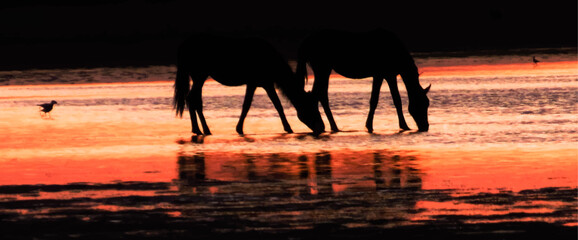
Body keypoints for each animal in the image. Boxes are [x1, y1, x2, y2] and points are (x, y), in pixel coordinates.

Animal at [171, 34, 324, 136]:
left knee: (194, 100)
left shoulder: (265, 83)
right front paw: (239, 128)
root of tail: (183, 47)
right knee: (192, 99)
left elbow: (276, 105)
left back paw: (201, 129)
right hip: (200, 76)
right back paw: (201, 130)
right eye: (311, 108)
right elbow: (249, 105)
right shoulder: (255, 82)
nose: (321, 127)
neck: (271, 62)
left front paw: (288, 128)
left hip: (198, 77)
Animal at [296, 29, 428, 133]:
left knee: (321, 95)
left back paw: (333, 127)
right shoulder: (382, 74)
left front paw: (403, 125)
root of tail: (306, 41)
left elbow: (394, 100)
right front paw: (371, 126)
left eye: (427, 103)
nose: (425, 126)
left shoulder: (388, 75)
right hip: (322, 69)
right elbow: (378, 100)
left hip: (324, 71)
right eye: (422, 104)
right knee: (318, 95)